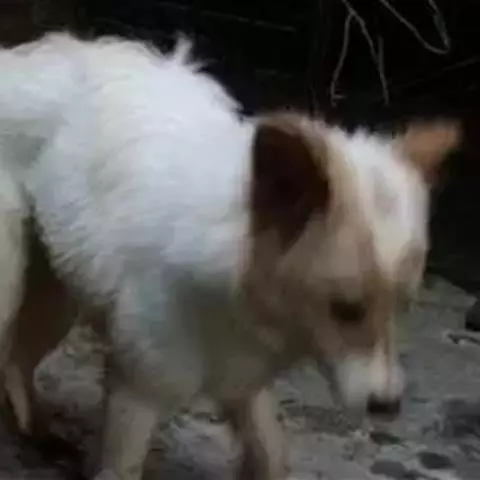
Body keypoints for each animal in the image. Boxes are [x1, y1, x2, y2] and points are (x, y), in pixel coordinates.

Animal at [0, 33, 460, 480]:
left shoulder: (244, 387)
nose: (387, 408)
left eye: (402, 307)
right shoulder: (137, 393)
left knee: (17, 359)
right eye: (346, 310)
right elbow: (122, 464)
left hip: (56, 293)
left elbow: (271, 455)